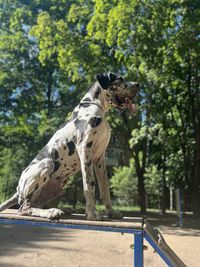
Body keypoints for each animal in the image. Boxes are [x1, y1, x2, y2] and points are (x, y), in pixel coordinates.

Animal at [0, 72, 138, 221]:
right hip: (47, 164)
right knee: (24, 208)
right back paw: (51, 212)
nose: (137, 84)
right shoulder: (85, 150)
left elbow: (104, 187)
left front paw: (111, 212)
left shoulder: (99, 158)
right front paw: (92, 213)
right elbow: (89, 185)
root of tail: (18, 189)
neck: (94, 105)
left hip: (59, 186)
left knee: (36, 204)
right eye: (120, 79)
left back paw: (62, 209)